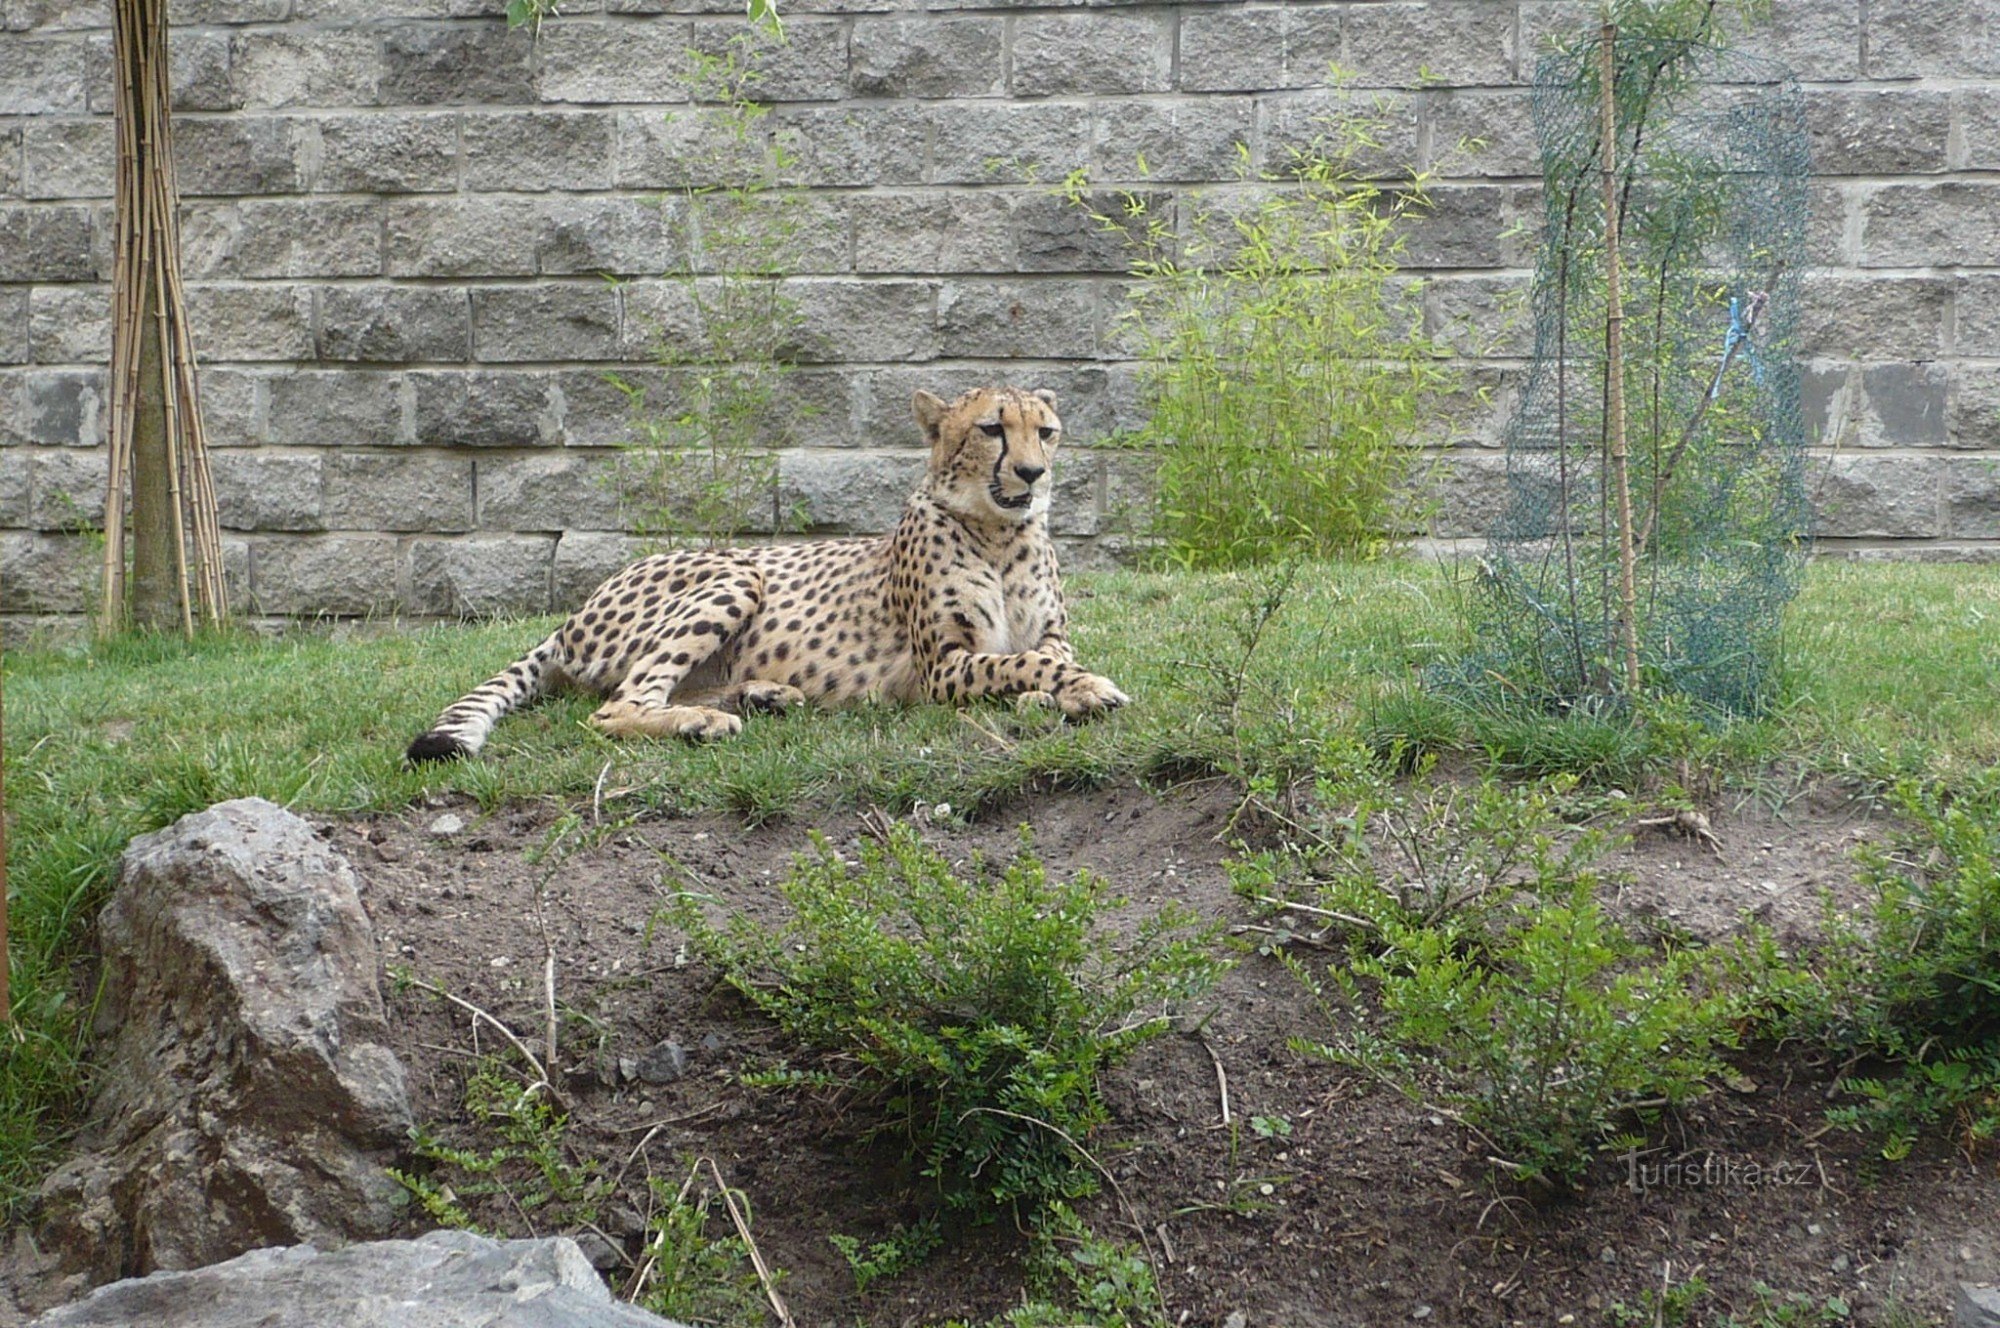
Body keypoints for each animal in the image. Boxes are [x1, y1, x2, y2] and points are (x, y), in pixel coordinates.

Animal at [406, 384, 1128, 764]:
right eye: (991, 429)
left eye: (1046, 431)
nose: (1032, 474)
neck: (1001, 533)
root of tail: (570, 616)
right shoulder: (939, 668)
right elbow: (1022, 663)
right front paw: (1087, 688)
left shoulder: (1049, 635)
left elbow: (1041, 658)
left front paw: (1053, 697)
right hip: (736, 575)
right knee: (618, 708)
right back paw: (703, 724)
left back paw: (762, 697)